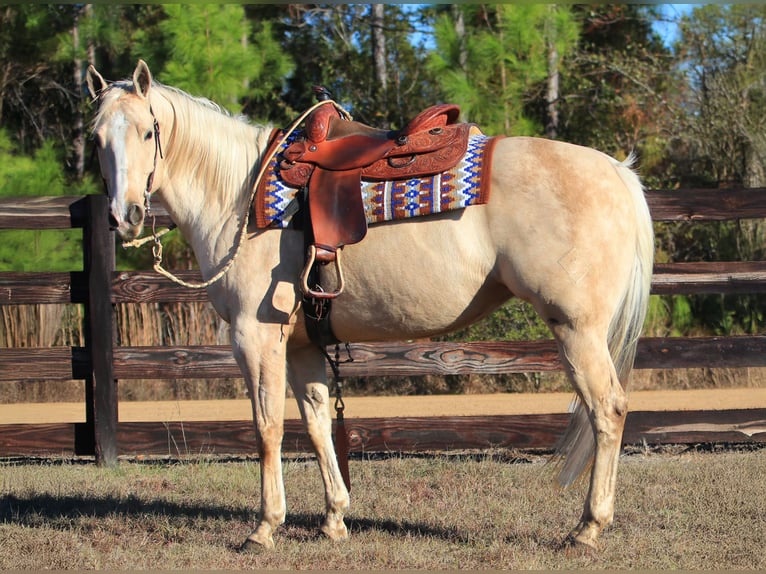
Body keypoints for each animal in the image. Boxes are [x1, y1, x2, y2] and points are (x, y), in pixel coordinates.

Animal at [86, 60, 653, 551]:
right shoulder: (302, 345)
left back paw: (587, 527)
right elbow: (317, 424)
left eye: (147, 132)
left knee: (607, 410)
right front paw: (334, 519)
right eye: (96, 138)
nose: (123, 215)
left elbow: (267, 428)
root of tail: (616, 171)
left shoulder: (255, 335)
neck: (238, 196)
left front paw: (265, 528)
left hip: (577, 329)